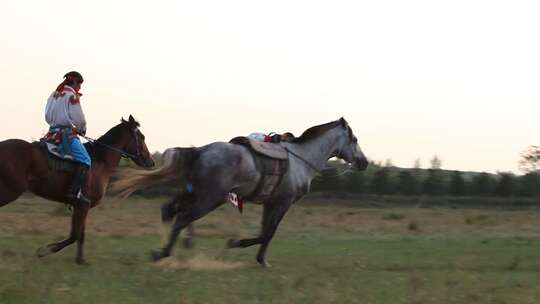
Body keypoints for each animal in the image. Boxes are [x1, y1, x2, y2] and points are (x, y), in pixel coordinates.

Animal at [0, 116, 154, 264]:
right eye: (142, 137)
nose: (150, 162)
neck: (100, 162)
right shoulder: (82, 204)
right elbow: (74, 235)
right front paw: (45, 250)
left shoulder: (82, 206)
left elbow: (80, 235)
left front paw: (80, 260)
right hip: (10, 191)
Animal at [112, 117, 370, 266]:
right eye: (355, 139)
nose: (364, 162)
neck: (301, 159)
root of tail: (201, 150)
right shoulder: (283, 203)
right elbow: (268, 233)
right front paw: (237, 243)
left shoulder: (270, 204)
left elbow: (266, 232)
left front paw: (260, 259)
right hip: (209, 200)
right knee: (182, 218)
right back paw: (163, 253)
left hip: (195, 193)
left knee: (168, 210)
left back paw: (164, 248)